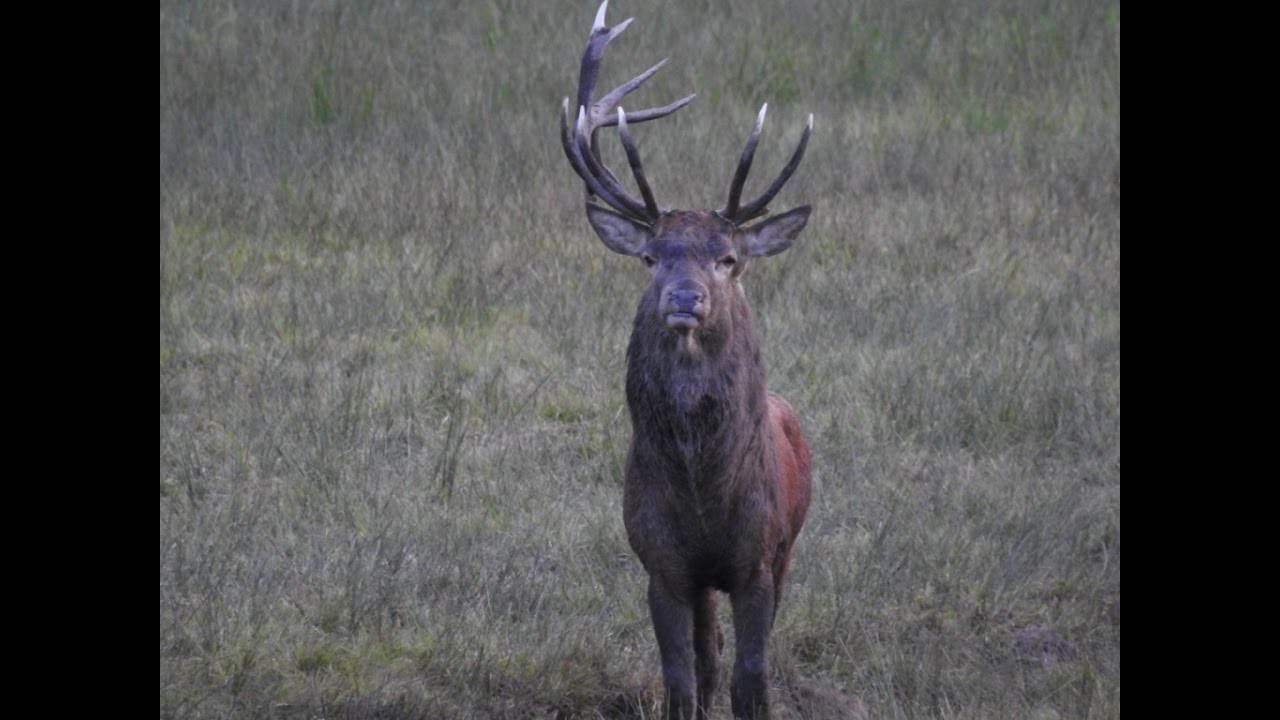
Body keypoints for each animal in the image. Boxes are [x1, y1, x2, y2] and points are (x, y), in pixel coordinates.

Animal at [560, 3, 813, 719]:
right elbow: (682, 677)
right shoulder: (663, 564)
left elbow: (752, 675)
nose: (684, 297)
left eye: (727, 258)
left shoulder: (758, 554)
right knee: (708, 653)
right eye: (651, 256)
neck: (702, 492)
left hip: (790, 543)